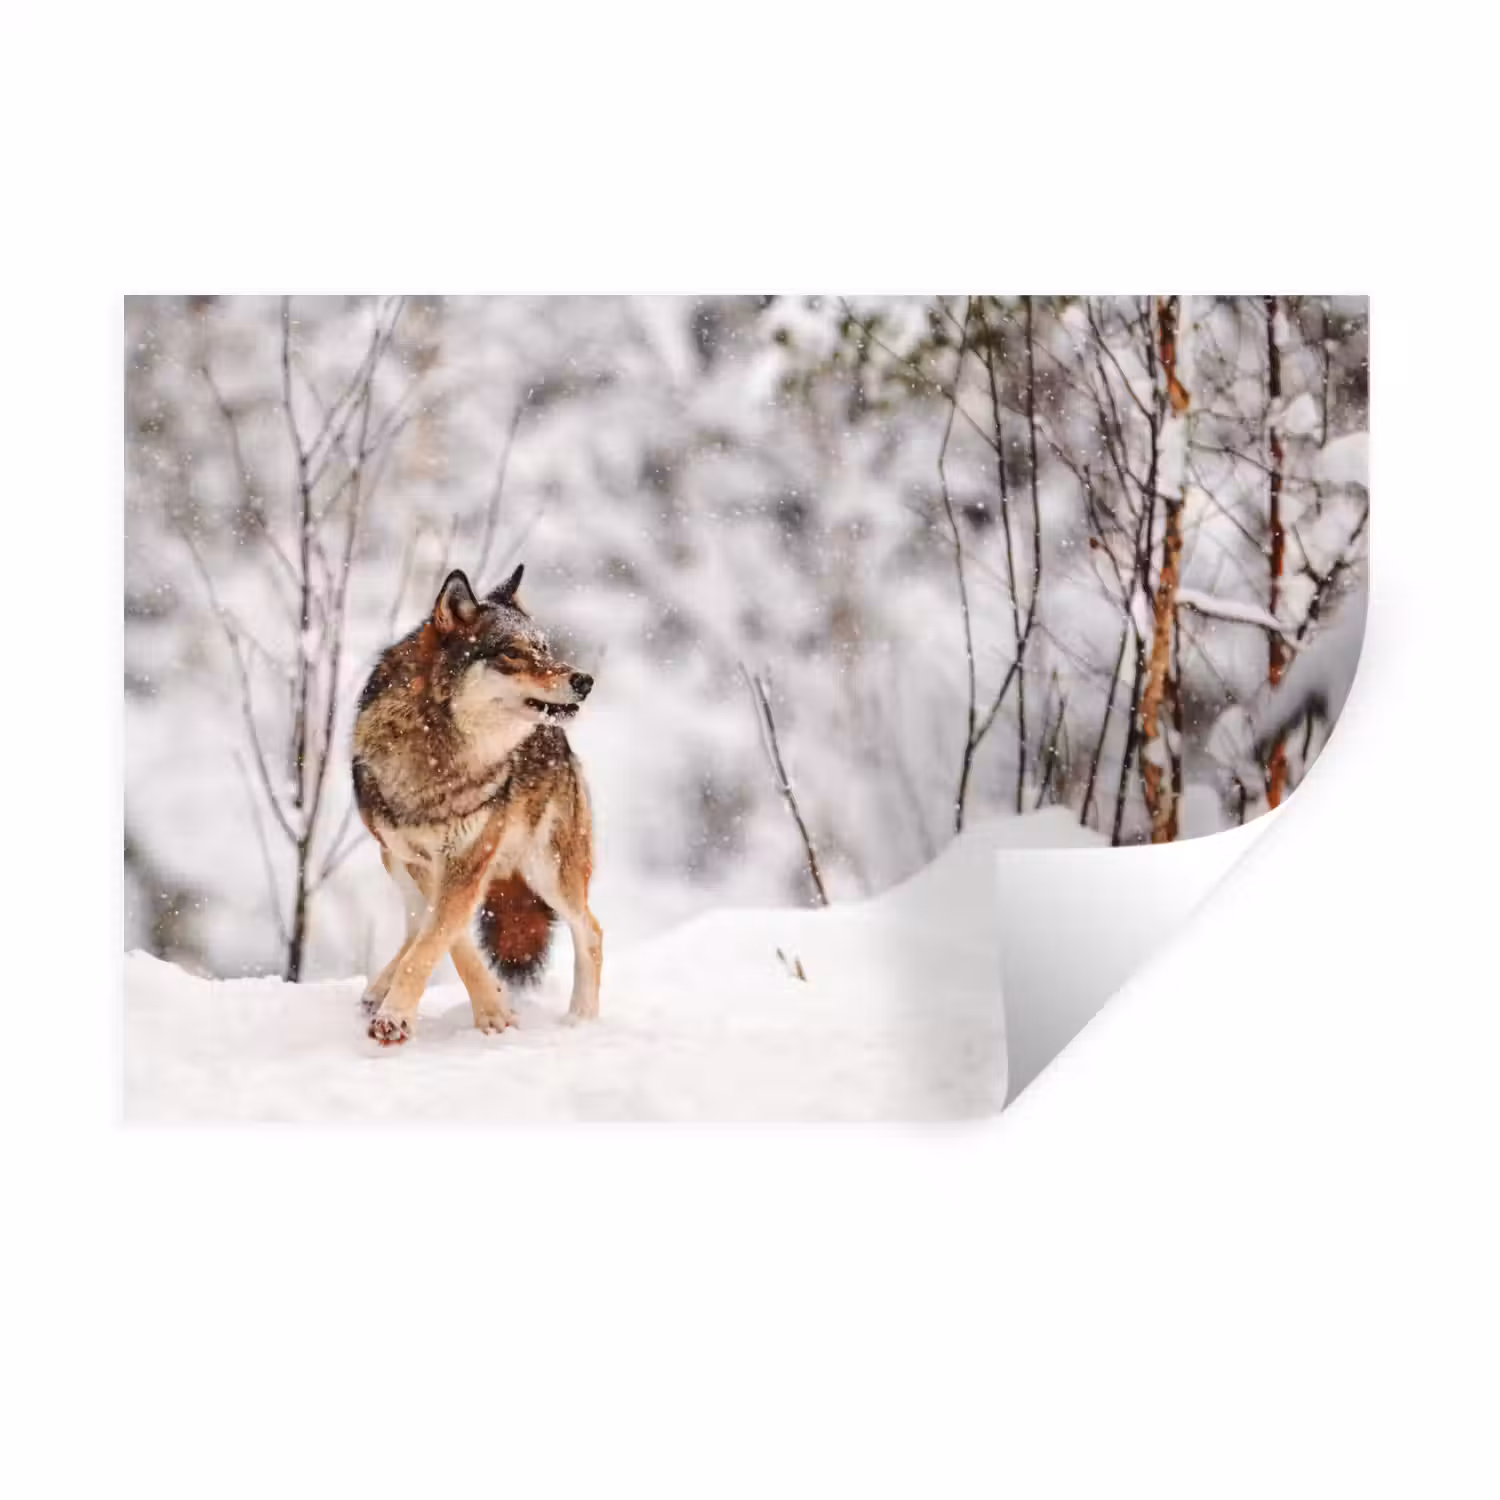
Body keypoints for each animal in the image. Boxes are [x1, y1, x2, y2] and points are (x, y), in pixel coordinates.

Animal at [351, 563, 601, 1045]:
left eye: (544, 648)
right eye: (513, 653)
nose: (584, 680)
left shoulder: (468, 859)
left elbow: (436, 940)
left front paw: (398, 1017)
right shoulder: (422, 860)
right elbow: (447, 939)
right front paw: (492, 1008)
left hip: (549, 871)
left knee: (591, 930)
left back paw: (582, 1019)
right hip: (392, 859)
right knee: (415, 924)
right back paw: (378, 988)